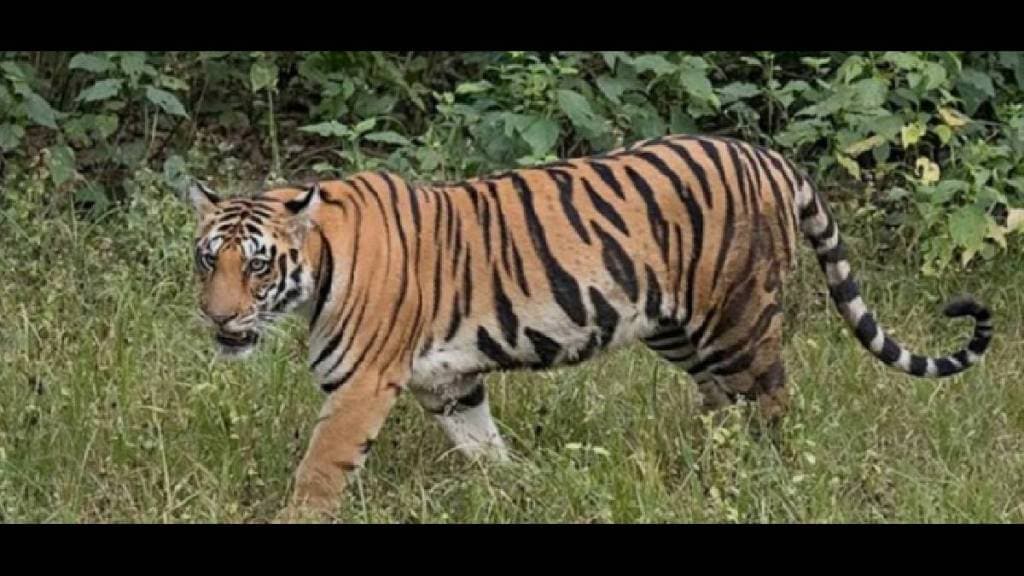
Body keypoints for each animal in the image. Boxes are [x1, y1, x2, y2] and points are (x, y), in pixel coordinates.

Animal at [185, 133, 993, 518]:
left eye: (257, 266)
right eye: (206, 260)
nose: (218, 318)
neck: (317, 266)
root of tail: (768, 156)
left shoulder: (360, 386)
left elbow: (320, 469)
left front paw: (294, 518)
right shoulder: (450, 383)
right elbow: (484, 447)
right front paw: (521, 490)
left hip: (738, 319)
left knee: (772, 402)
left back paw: (767, 477)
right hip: (680, 329)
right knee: (722, 405)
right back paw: (707, 469)